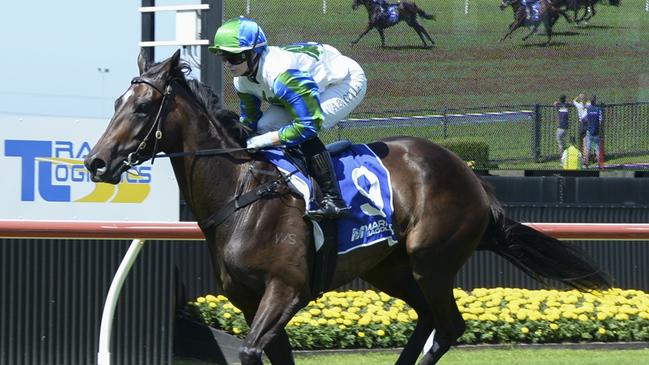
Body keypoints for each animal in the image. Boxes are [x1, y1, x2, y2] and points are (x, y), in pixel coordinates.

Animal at [83, 49, 612, 364]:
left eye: (142, 108)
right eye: (115, 102)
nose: (96, 161)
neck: (241, 193)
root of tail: (472, 178)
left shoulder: (286, 290)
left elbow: (251, 352)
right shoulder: (249, 299)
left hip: (432, 260)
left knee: (449, 326)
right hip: (389, 267)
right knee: (427, 319)